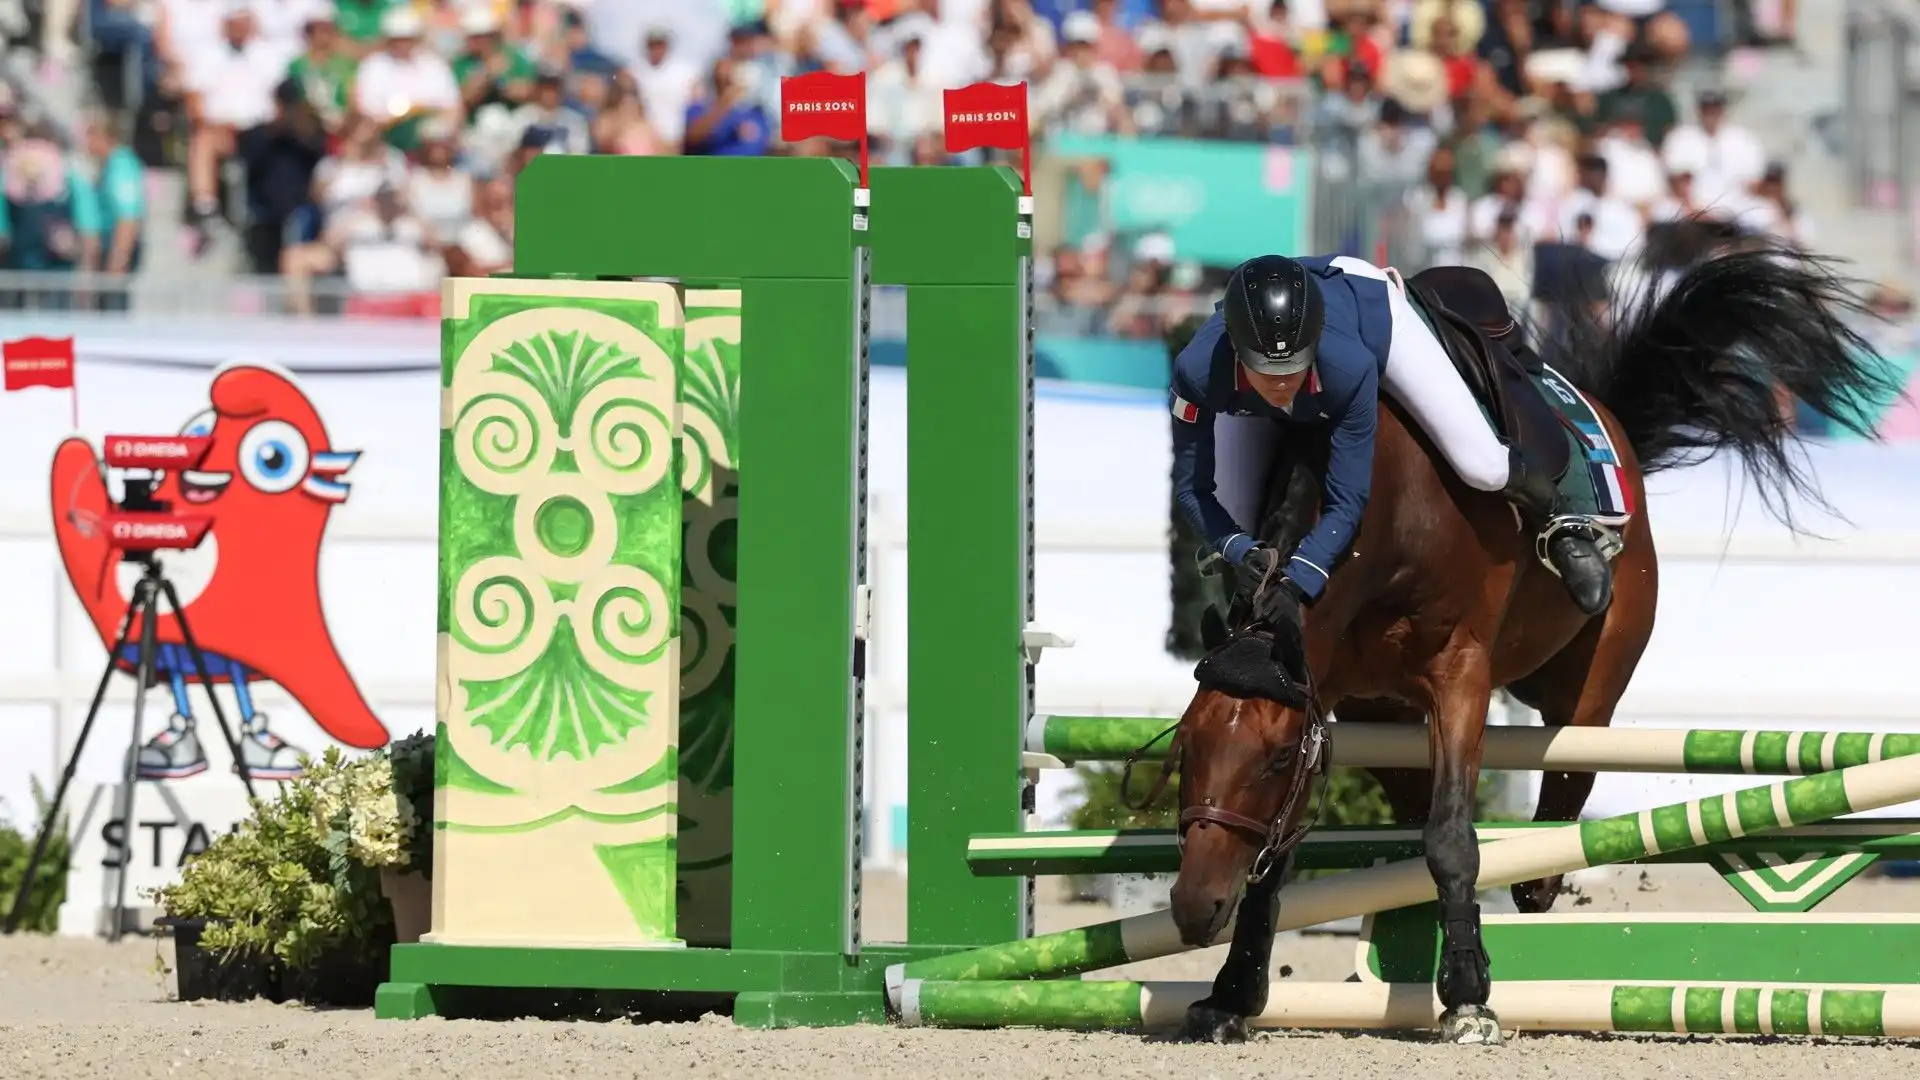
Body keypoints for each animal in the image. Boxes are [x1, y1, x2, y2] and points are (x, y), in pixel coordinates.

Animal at [1152, 245, 1904, 1045]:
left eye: (1272, 759)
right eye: (1188, 746)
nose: (1195, 909)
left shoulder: (1459, 674)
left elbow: (1452, 835)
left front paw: (1468, 995)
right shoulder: (1333, 697)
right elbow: (1292, 848)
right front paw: (1232, 993)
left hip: (1586, 691)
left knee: (1559, 801)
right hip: (1394, 714)